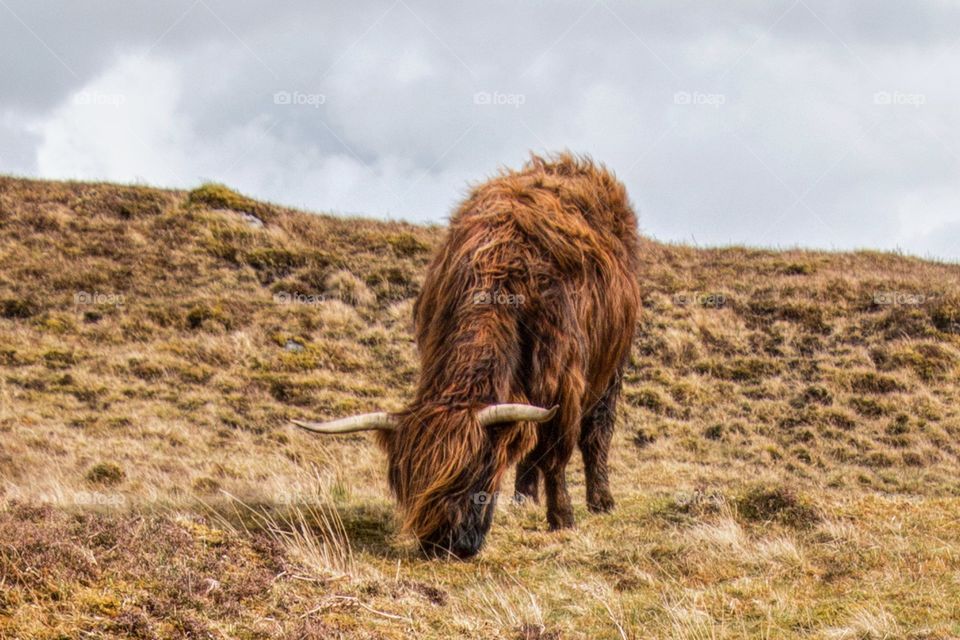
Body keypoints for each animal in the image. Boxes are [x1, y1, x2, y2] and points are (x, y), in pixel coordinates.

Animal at [292, 152, 636, 556]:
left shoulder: (563, 380)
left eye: (476, 473)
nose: (444, 544)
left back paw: (600, 501)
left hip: (612, 366)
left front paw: (562, 519)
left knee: (596, 433)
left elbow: (555, 454)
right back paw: (524, 500)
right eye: (405, 482)